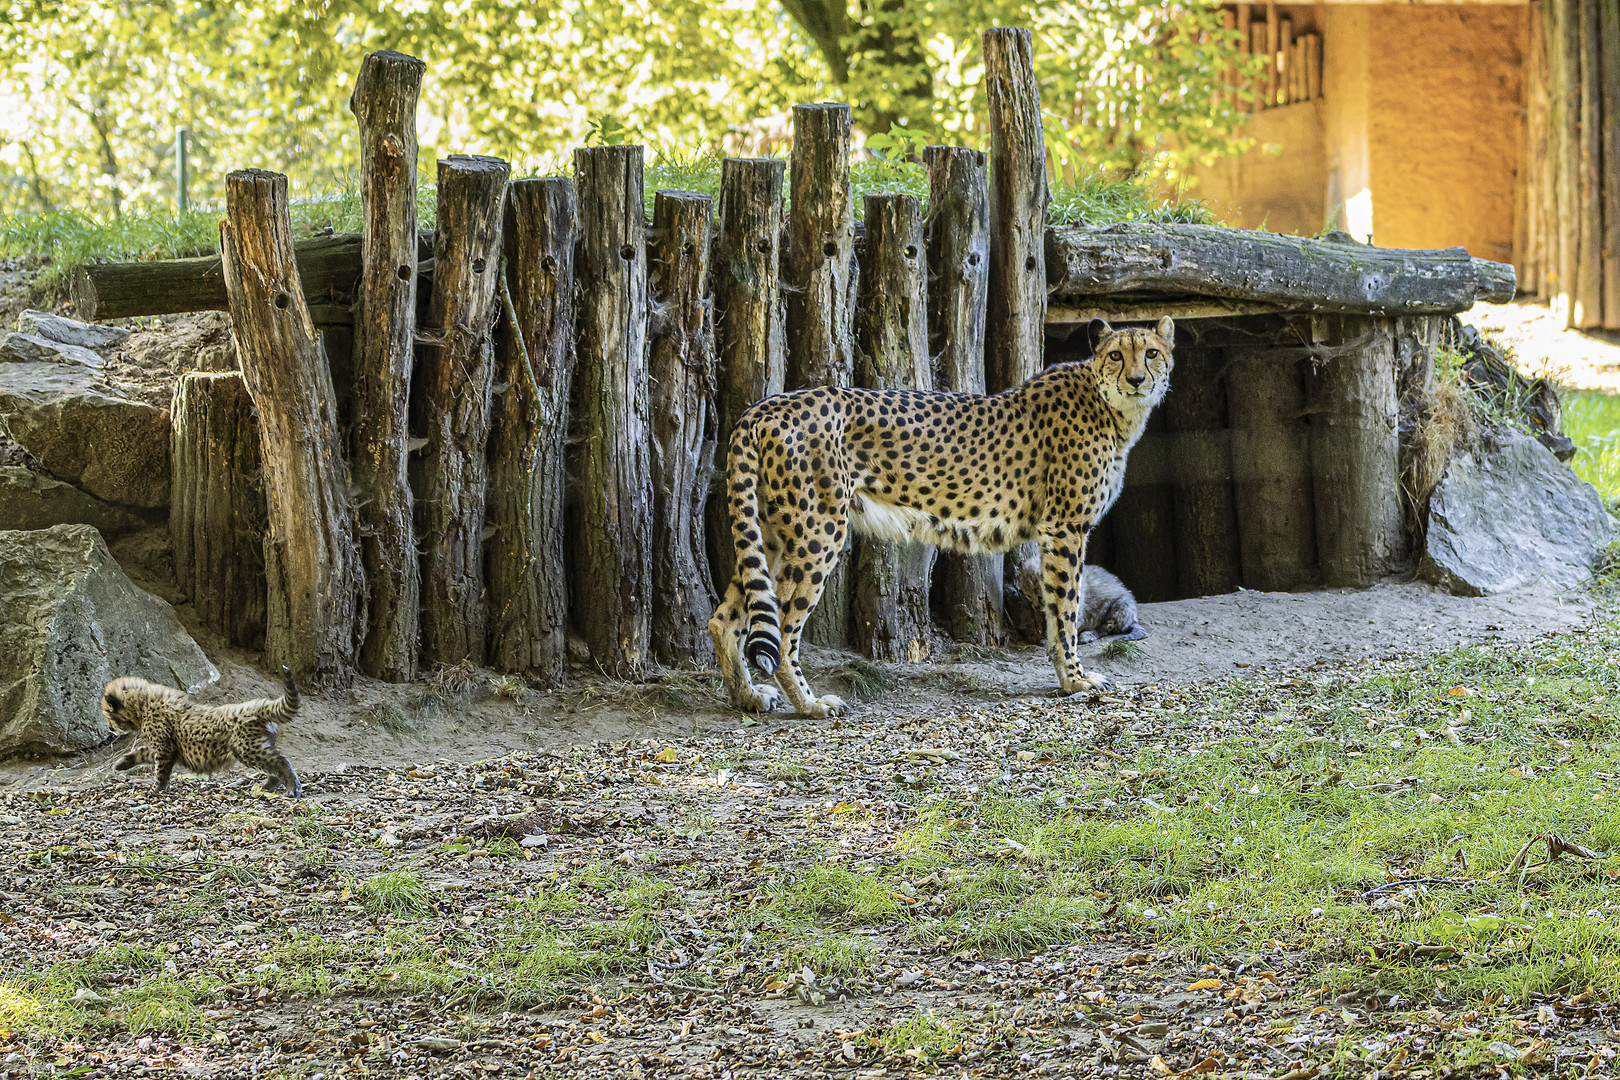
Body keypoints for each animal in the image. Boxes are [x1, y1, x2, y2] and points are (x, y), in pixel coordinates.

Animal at [712, 312, 1179, 718]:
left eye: (1151, 353)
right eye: (1116, 354)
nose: (1136, 379)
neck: (1110, 407)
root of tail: (765, 405)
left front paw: (1070, 677)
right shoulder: (1065, 528)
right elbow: (1065, 610)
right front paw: (1076, 681)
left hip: (773, 530)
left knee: (727, 617)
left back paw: (747, 698)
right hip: (819, 530)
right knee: (783, 625)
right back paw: (810, 705)